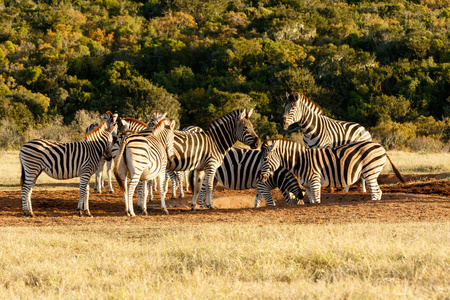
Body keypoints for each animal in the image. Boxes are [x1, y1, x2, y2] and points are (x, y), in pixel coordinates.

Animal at [258, 138, 406, 204]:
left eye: (265, 159)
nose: (259, 177)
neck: (301, 161)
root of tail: (380, 146)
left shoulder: (315, 182)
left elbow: (317, 201)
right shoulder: (307, 186)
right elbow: (312, 201)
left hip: (370, 172)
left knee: (375, 192)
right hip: (372, 173)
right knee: (379, 191)